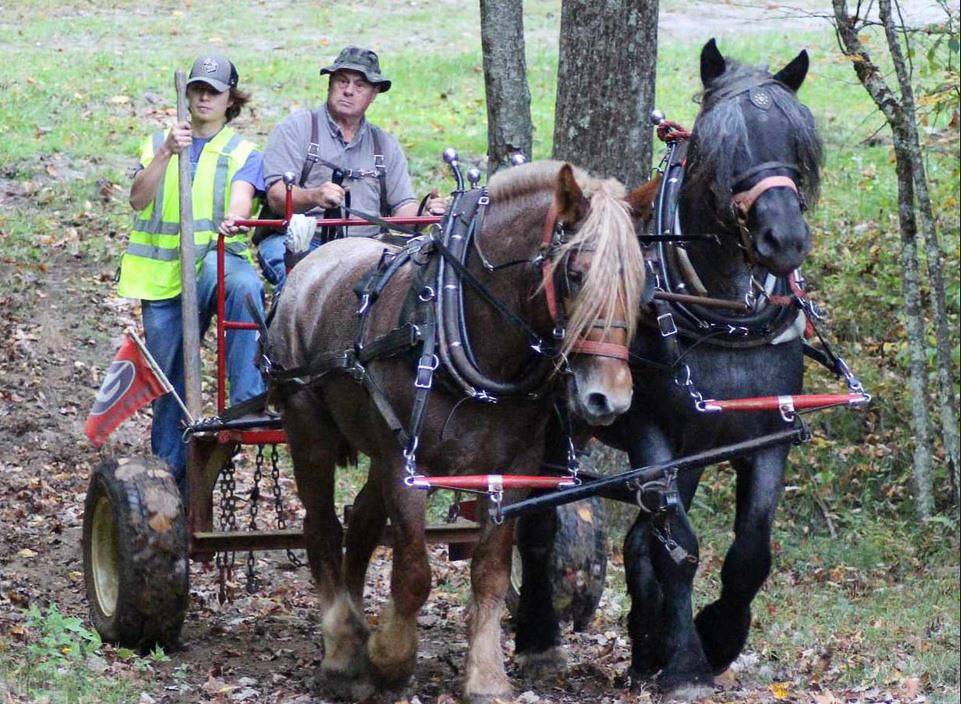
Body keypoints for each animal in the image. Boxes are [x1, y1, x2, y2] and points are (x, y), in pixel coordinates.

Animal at [267, 160, 650, 703]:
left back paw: (357, 630)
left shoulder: (512, 472)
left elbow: (490, 573)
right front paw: (389, 660)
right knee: (322, 527)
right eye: (575, 275)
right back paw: (342, 652)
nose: (609, 399)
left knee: (360, 521)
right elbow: (413, 573)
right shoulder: (407, 469)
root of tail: (310, 261)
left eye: (641, 282)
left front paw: (485, 675)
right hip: (308, 427)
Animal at [513, 39, 824, 699]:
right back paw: (539, 636)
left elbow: (749, 553)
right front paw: (685, 664)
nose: (784, 239)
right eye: (716, 146)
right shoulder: (652, 432)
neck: (725, 312)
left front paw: (715, 636)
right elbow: (678, 546)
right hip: (557, 426)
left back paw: (642, 646)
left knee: (636, 539)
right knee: (540, 528)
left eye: (795, 142)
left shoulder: (766, 435)